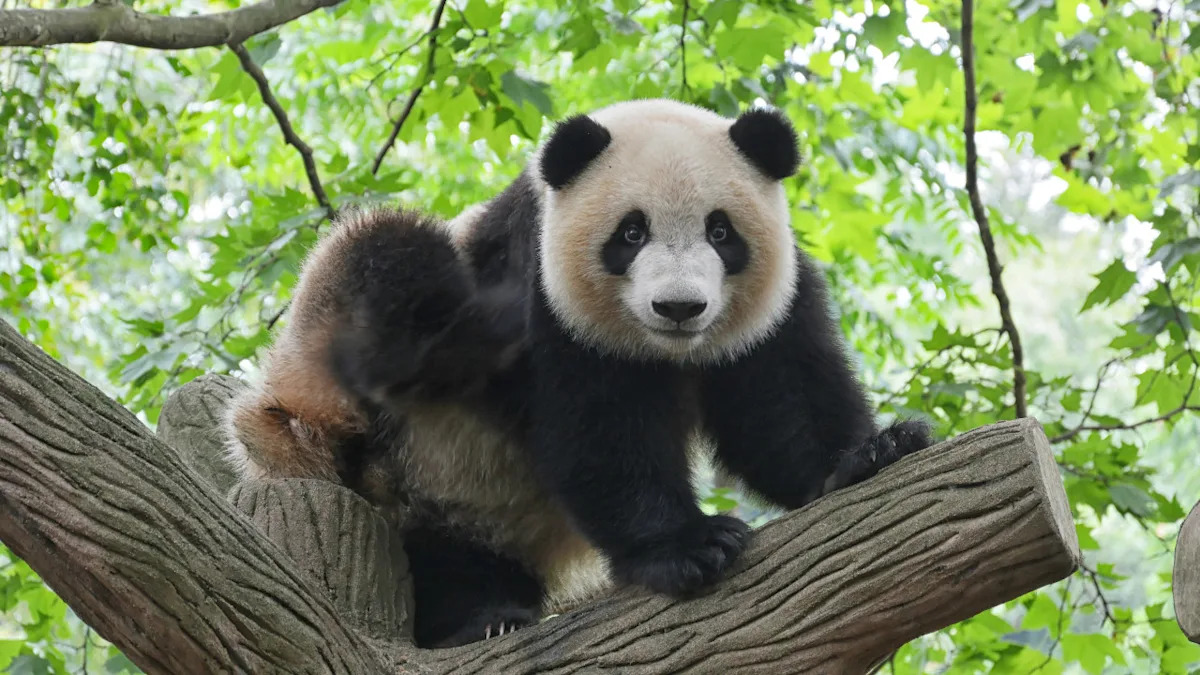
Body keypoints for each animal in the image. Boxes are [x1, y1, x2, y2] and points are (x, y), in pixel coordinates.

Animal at [223, 98, 933, 649]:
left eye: (721, 231)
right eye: (631, 233)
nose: (679, 307)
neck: (665, 351)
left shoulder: (770, 308)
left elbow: (780, 404)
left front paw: (871, 452)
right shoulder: (544, 297)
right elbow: (599, 431)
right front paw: (690, 546)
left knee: (453, 554)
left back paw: (487, 610)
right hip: (348, 405)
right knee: (385, 254)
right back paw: (477, 623)